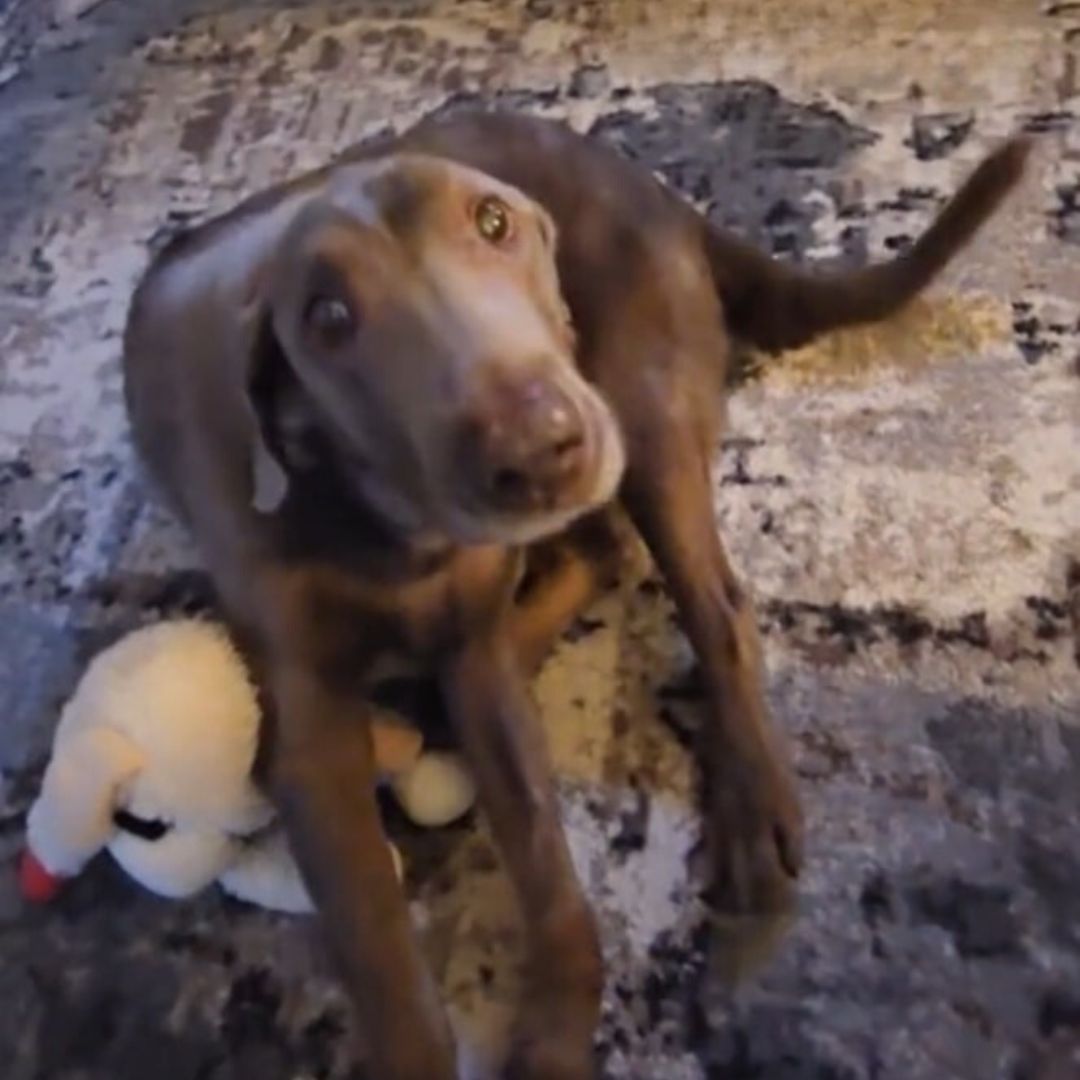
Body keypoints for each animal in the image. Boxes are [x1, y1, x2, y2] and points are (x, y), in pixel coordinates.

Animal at [120, 111, 1028, 1080]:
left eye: (492, 223)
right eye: (327, 316)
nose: (536, 447)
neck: (385, 521)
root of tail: (659, 193)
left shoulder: (479, 662)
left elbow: (546, 861)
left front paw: (553, 1031)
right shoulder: (314, 735)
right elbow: (382, 955)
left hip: (644, 410)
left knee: (710, 602)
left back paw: (748, 806)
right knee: (598, 555)